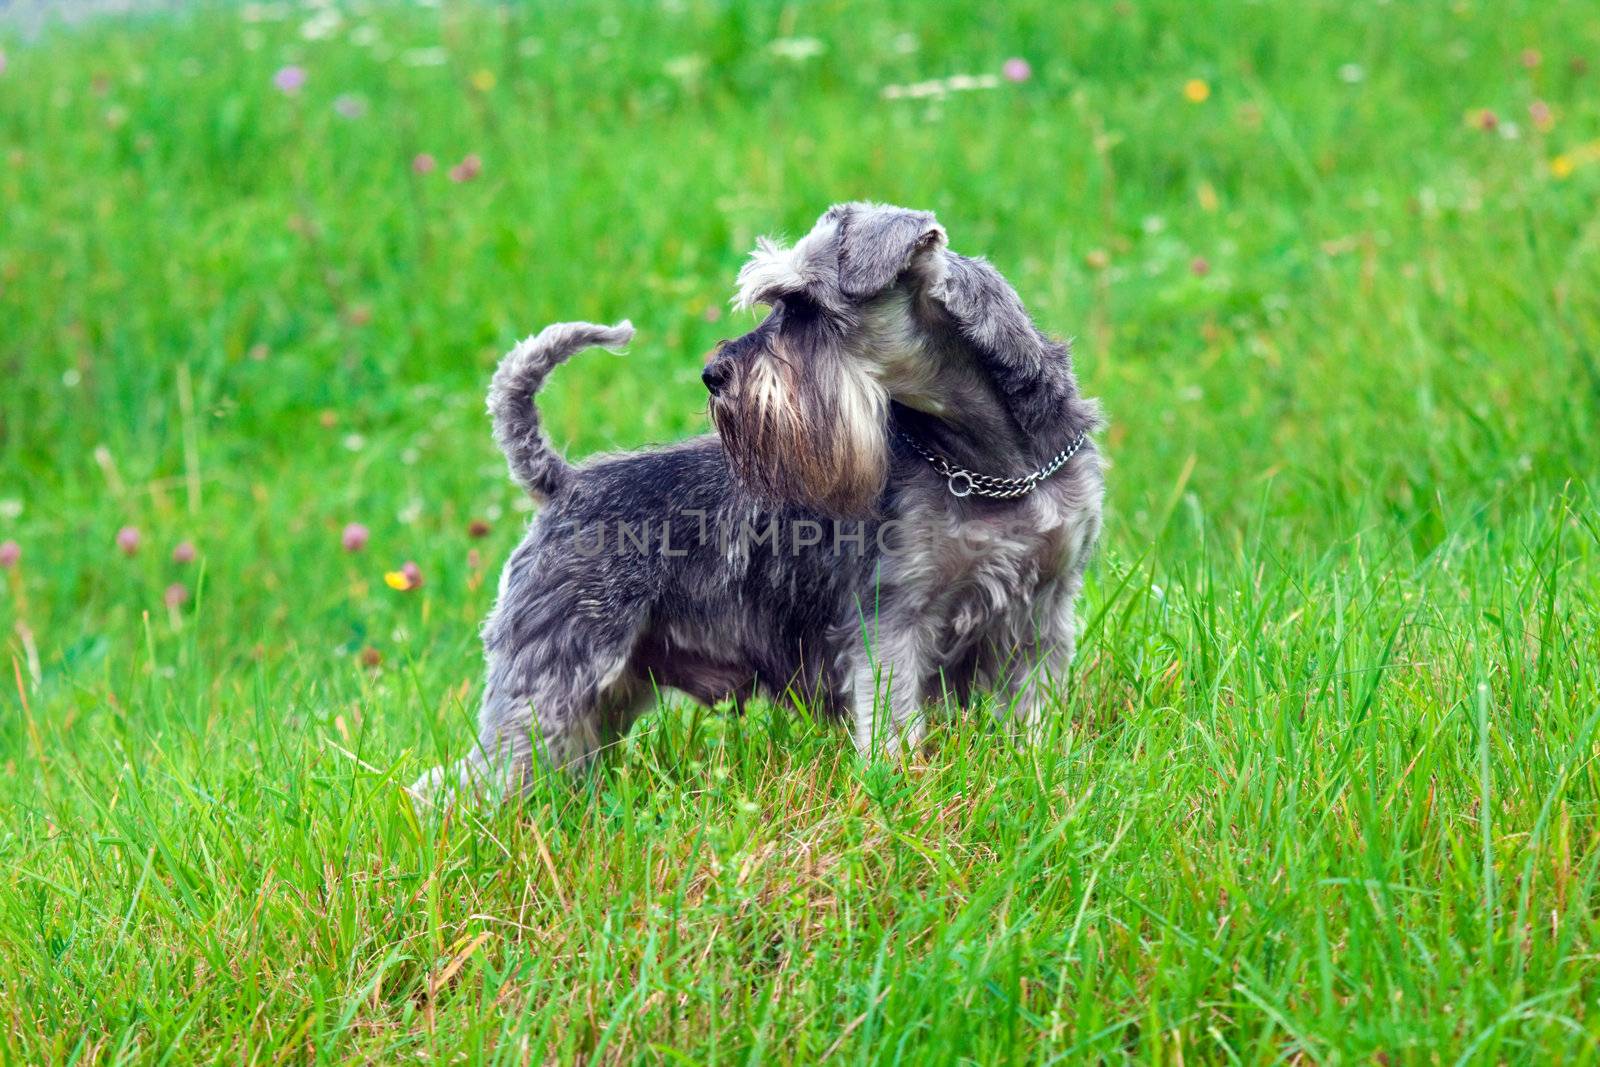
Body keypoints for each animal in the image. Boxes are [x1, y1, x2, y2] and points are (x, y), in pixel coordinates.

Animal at [416, 199, 1100, 806]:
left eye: (804, 306)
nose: (713, 374)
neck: (988, 466)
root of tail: (564, 484)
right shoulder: (893, 623)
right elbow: (892, 725)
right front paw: (898, 790)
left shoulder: (1042, 613)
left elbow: (1033, 713)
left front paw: (1042, 774)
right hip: (553, 676)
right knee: (463, 782)